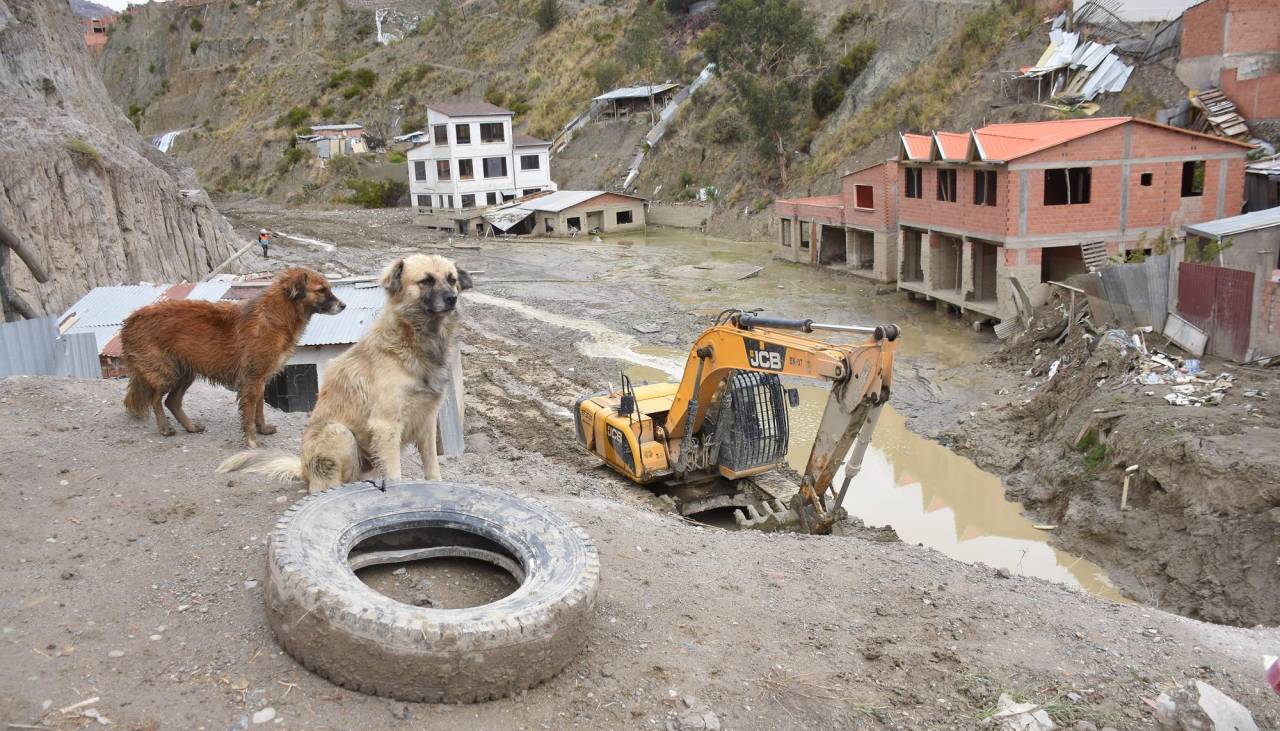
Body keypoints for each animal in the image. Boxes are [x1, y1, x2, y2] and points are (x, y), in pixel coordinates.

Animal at [120, 266, 345, 442]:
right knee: (156, 399)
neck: (276, 316)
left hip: (186, 373)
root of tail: (131, 319)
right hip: (166, 372)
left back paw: (190, 427)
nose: (344, 305)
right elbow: (249, 411)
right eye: (321, 290)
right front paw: (251, 439)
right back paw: (165, 428)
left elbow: (259, 408)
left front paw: (263, 429)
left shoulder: (260, 378)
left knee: (172, 401)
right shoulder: (252, 379)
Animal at [222, 256, 473, 491]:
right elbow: (395, 474)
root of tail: (303, 468)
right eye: (426, 280)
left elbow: (432, 468)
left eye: (452, 279)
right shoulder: (386, 425)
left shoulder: (427, 420)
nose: (452, 298)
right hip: (338, 432)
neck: (412, 342)